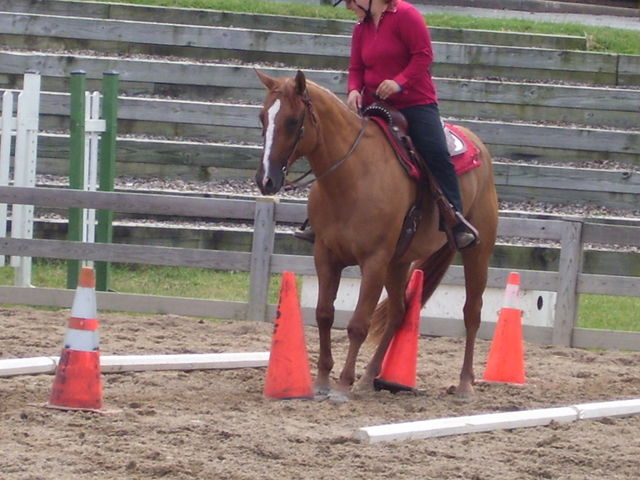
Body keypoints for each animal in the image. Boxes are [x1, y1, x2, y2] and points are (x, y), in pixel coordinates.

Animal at [255, 70, 500, 402]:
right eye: (263, 117)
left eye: (293, 121)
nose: (265, 180)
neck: (351, 177)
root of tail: (477, 145)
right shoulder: (325, 255)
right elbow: (324, 314)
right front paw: (322, 380)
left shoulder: (373, 261)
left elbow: (359, 323)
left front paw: (342, 385)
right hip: (399, 263)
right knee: (399, 312)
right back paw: (369, 377)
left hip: (477, 252)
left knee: (472, 312)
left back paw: (464, 384)